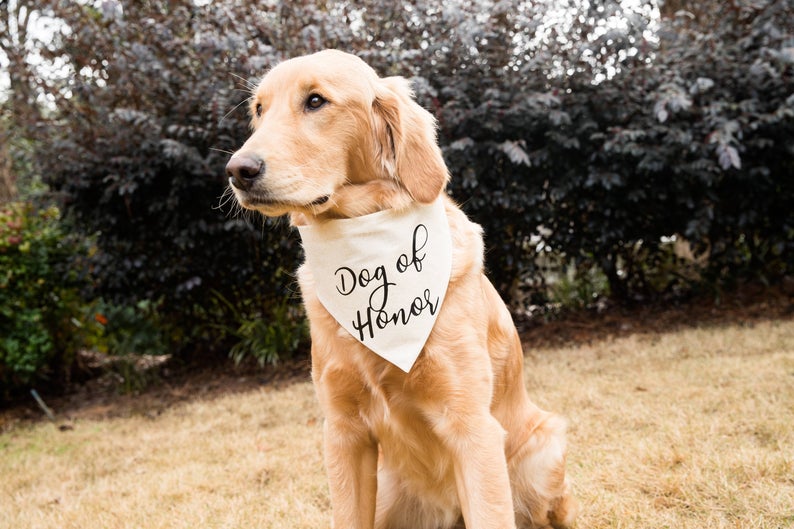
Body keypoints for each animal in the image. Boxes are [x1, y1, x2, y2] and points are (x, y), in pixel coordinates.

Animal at [226, 50, 572, 528]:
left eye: (315, 101)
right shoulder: (343, 433)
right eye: (259, 110)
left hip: (544, 450)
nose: (238, 171)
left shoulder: (472, 427)